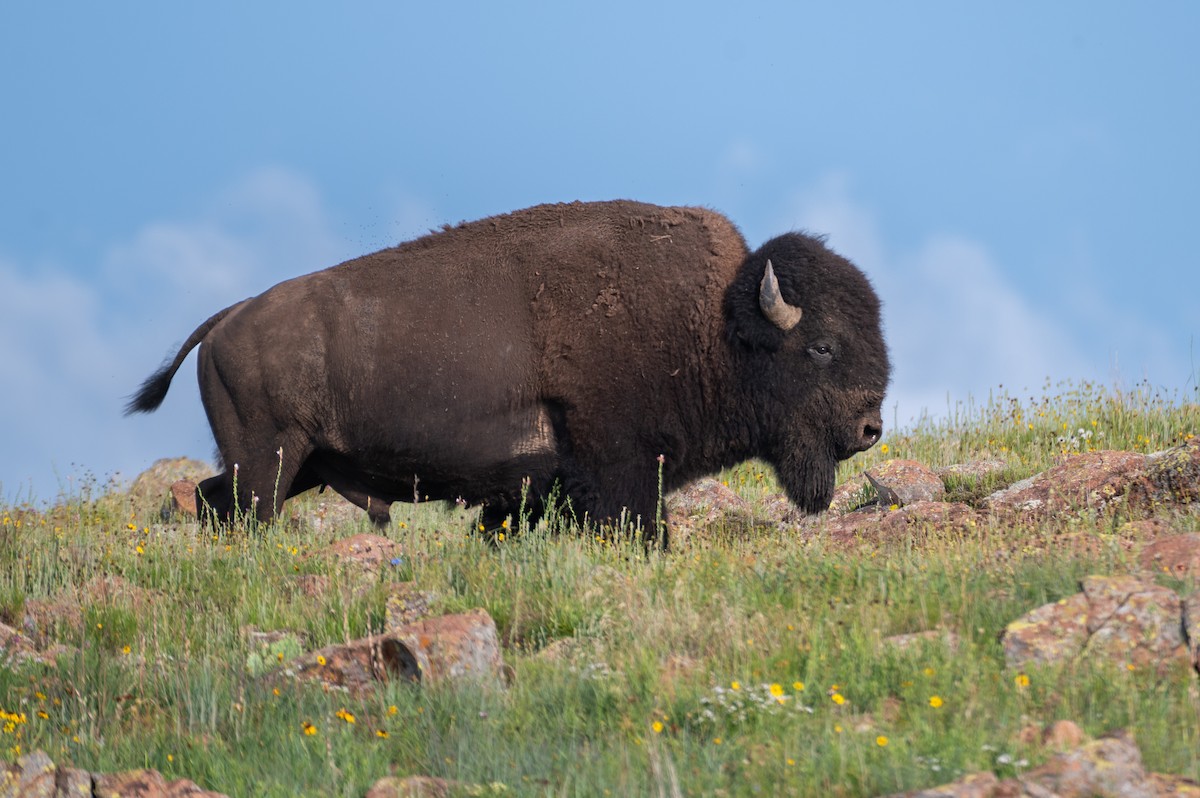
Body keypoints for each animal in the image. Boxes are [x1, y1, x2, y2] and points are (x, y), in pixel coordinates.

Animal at [128, 200, 889, 546]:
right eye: (822, 347)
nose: (869, 427)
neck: (713, 324)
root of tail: (226, 319)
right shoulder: (621, 471)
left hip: (291, 465)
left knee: (207, 499)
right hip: (270, 463)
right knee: (237, 509)